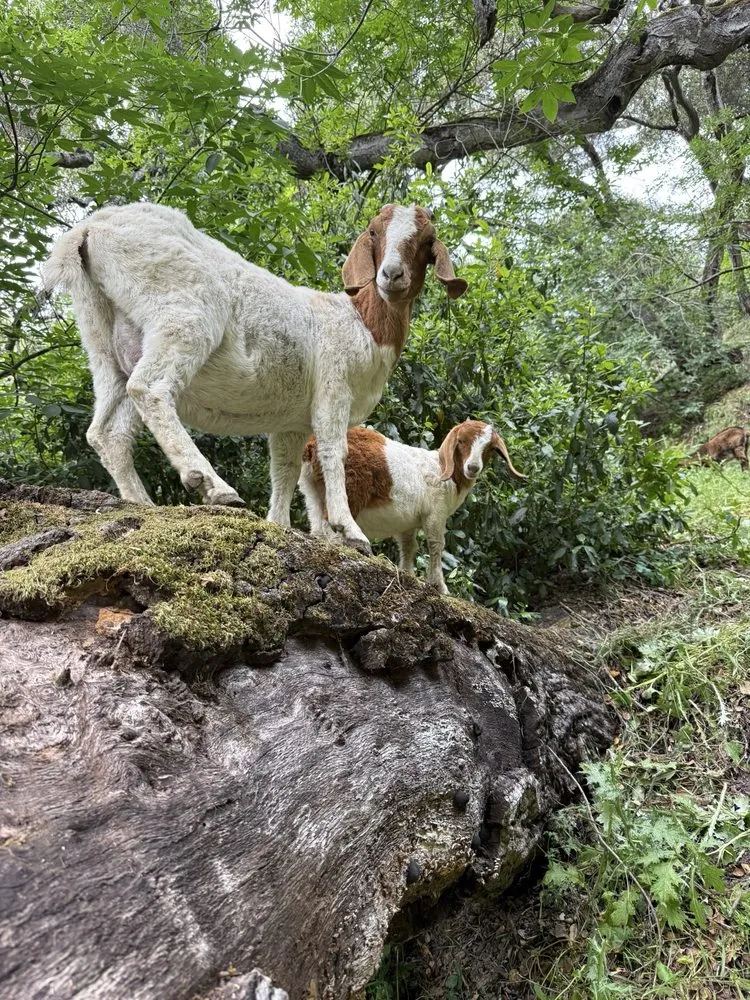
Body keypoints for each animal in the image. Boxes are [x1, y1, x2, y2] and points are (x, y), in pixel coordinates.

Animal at [41, 202, 467, 553]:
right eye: (375, 232)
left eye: (427, 240)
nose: (391, 275)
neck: (361, 323)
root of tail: (88, 230)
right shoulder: (334, 386)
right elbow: (334, 453)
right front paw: (350, 532)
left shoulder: (292, 422)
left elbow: (285, 470)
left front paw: (279, 525)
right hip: (183, 313)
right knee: (150, 388)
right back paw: (210, 484)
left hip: (104, 337)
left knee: (107, 429)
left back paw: (140, 502)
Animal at [299, 419, 526, 593]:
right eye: (461, 441)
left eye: (489, 449)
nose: (472, 467)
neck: (443, 471)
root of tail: (311, 446)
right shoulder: (435, 512)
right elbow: (436, 544)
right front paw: (439, 586)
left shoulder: (407, 524)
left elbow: (408, 547)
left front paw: (408, 574)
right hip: (348, 487)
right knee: (332, 521)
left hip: (311, 490)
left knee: (317, 525)